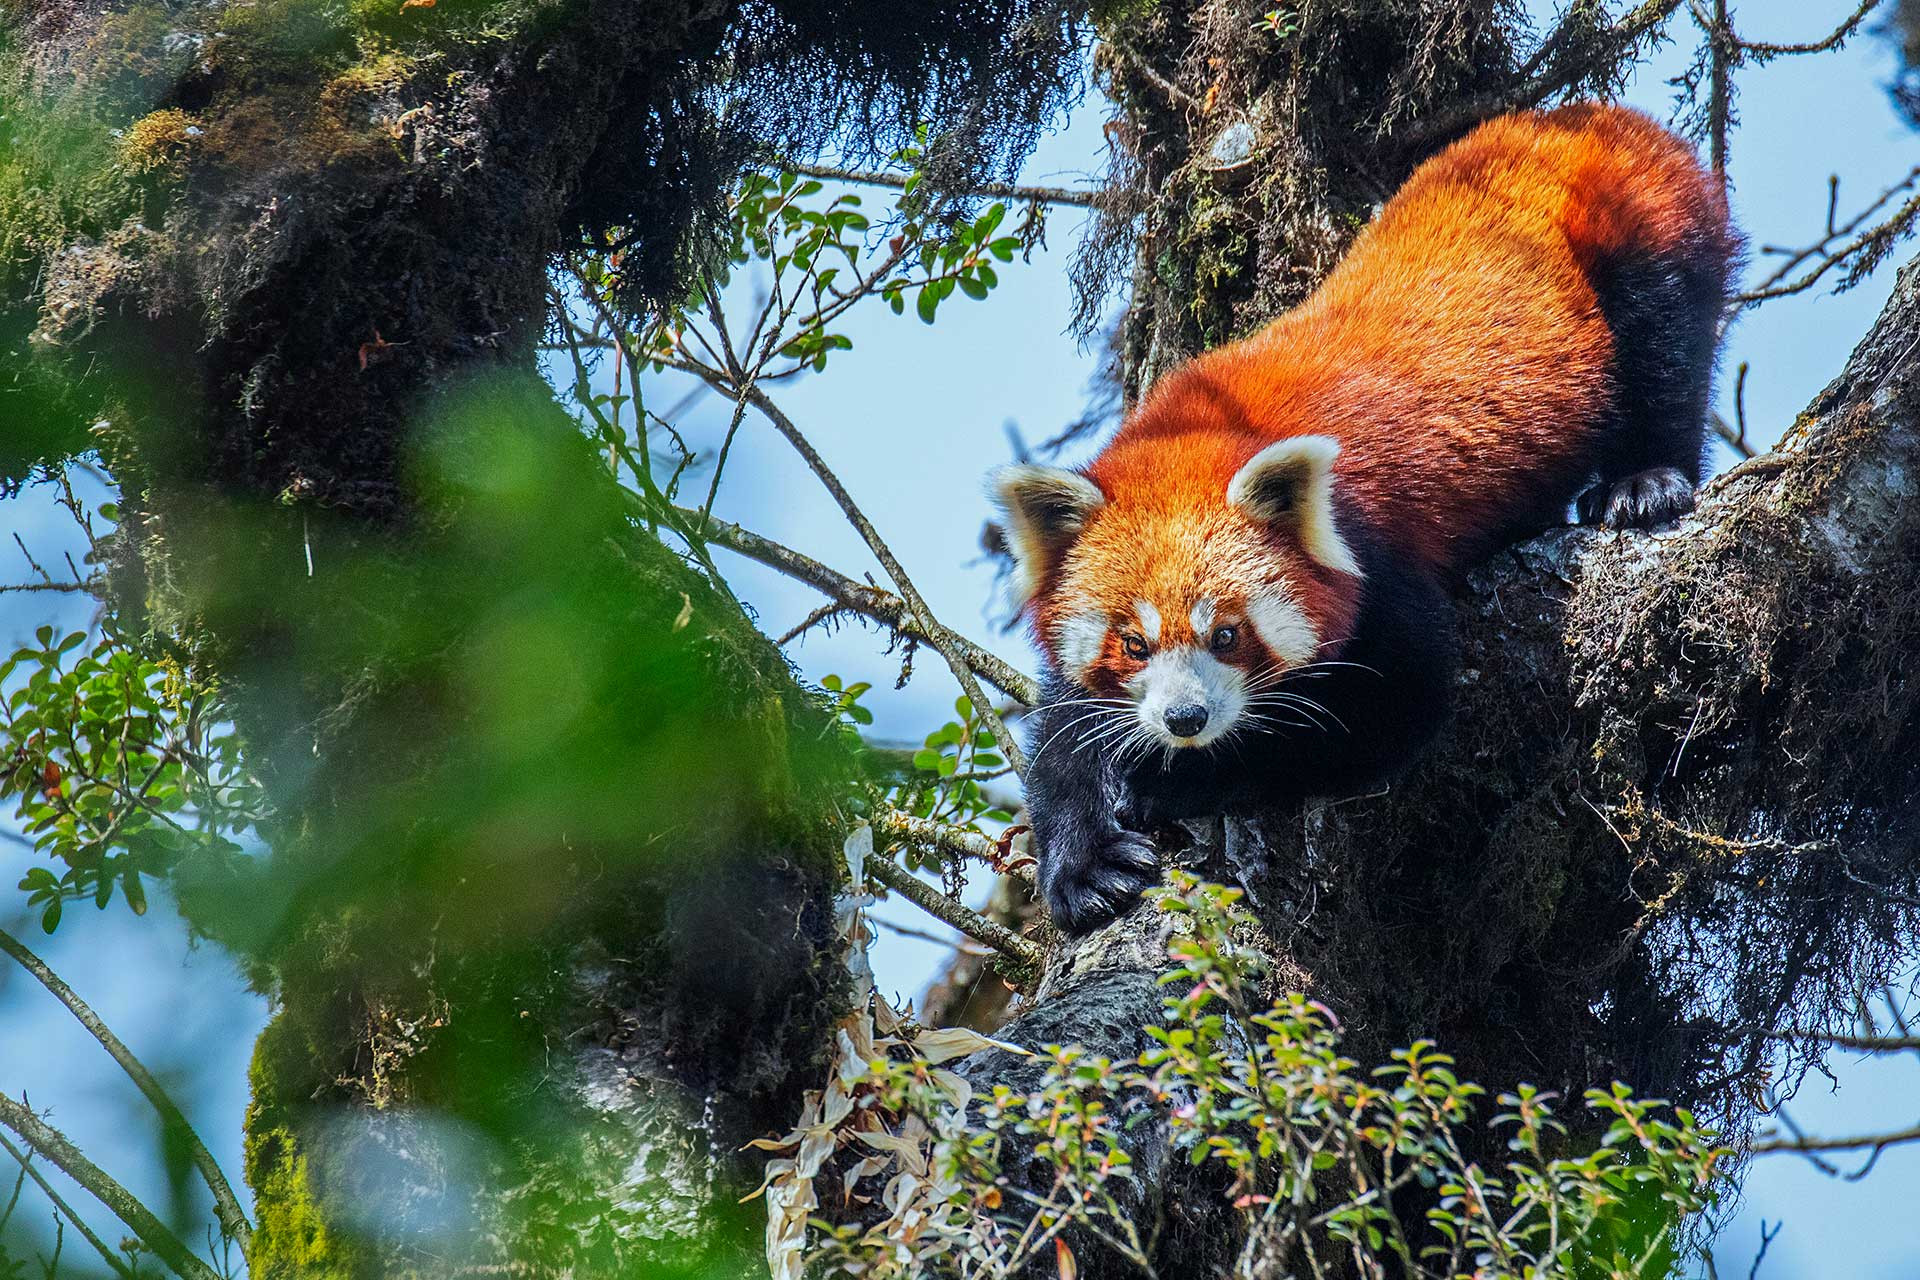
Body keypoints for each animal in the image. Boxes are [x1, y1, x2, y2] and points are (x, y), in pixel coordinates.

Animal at [990, 105, 1743, 936]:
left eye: (1229, 636)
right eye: (1133, 642)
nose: (1186, 719)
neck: (1199, 435)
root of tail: (1579, 116)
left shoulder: (1377, 559)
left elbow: (1381, 718)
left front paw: (1175, 778)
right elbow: (1064, 730)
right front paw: (1084, 859)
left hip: (1644, 230)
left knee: (1665, 351)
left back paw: (1645, 482)